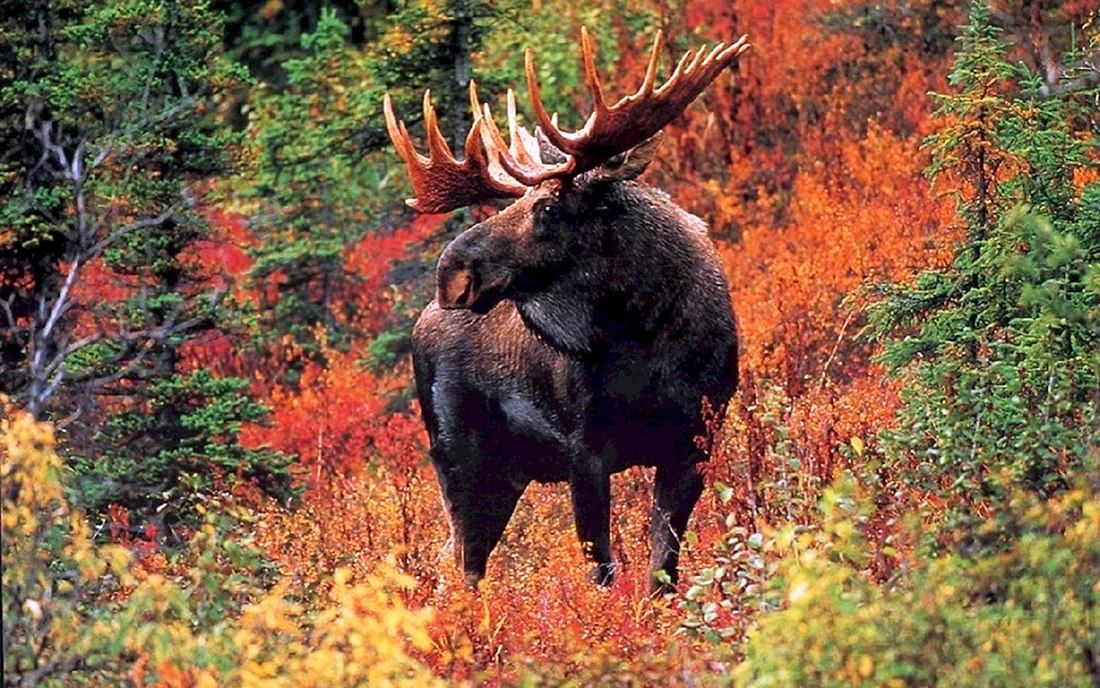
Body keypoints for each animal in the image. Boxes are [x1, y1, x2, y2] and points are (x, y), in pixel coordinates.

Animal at [383, 28, 748, 592]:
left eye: (548, 207)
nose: (452, 273)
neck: (652, 339)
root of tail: (422, 322)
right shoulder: (585, 449)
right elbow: (601, 569)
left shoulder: (696, 438)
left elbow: (662, 566)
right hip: (457, 456)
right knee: (463, 565)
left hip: (505, 474)